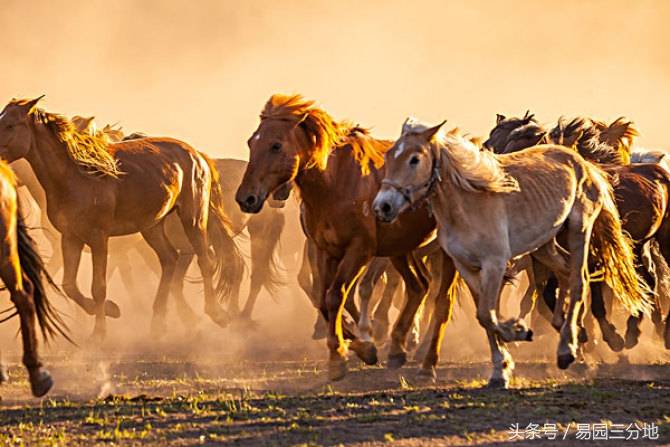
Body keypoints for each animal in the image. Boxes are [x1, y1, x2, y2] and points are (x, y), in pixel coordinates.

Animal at [238, 95, 456, 382]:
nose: (246, 198)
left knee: (441, 301)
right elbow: (322, 296)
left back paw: (426, 362)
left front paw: (343, 355)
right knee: (419, 285)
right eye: (251, 142)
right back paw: (397, 349)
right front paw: (359, 346)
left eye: (276, 145)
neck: (335, 184)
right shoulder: (324, 250)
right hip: (402, 249)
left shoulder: (359, 251)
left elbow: (337, 295)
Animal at [376, 120, 648, 388]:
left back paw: (567, 349)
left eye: (414, 159)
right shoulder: (467, 267)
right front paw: (502, 367)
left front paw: (517, 334)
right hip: (544, 245)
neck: (467, 205)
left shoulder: (495, 264)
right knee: (564, 272)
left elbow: (487, 313)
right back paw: (569, 329)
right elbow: (485, 316)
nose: (383, 206)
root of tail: (581, 162)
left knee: (579, 281)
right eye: (389, 155)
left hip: (579, 229)